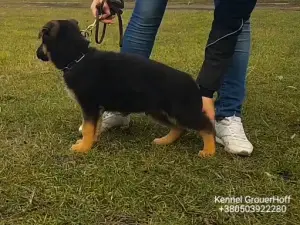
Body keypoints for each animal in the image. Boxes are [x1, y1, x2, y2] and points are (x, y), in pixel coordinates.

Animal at [36, 19, 216, 157]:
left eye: (42, 41)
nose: (37, 54)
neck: (77, 57)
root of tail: (193, 83)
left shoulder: (89, 106)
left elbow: (88, 128)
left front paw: (83, 148)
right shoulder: (96, 109)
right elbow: (95, 127)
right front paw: (91, 142)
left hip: (182, 112)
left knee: (207, 126)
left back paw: (209, 151)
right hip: (158, 111)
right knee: (179, 128)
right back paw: (164, 141)